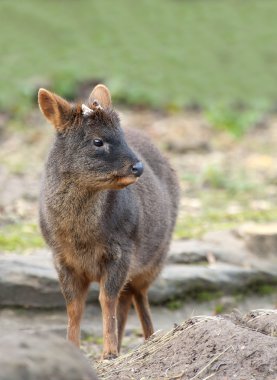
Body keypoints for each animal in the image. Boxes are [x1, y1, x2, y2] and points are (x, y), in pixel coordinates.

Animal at [37, 84, 178, 360]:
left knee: (138, 295)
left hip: (155, 258)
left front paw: (109, 352)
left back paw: (150, 338)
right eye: (97, 141)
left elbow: (106, 299)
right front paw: (75, 348)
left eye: (121, 135)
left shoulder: (122, 250)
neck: (80, 236)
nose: (138, 167)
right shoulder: (61, 258)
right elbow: (74, 306)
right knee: (127, 298)